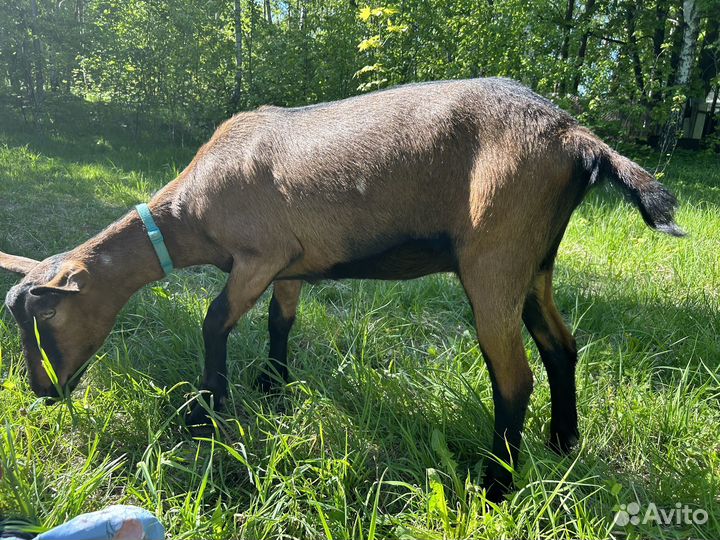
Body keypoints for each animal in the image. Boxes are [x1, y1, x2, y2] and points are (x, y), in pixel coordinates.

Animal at [0, 79, 684, 502]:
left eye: (45, 320)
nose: (43, 392)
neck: (189, 212)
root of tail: (576, 136)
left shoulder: (258, 256)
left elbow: (215, 321)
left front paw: (210, 410)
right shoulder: (292, 265)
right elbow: (279, 323)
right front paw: (273, 387)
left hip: (494, 255)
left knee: (514, 376)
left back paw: (494, 484)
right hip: (535, 264)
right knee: (560, 346)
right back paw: (563, 443)